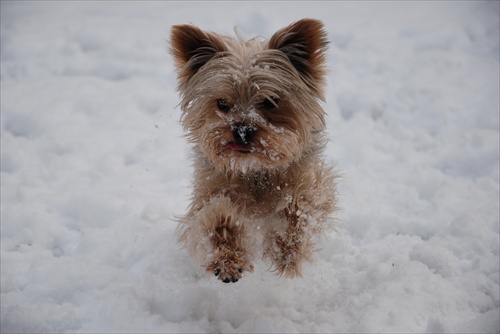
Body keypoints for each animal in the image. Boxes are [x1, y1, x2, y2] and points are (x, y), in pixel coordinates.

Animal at [170, 19, 338, 284]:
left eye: (270, 101)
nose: (241, 130)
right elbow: (213, 216)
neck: (255, 169)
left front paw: (285, 249)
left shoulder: (311, 184)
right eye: (222, 103)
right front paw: (228, 259)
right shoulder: (209, 192)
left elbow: (299, 208)